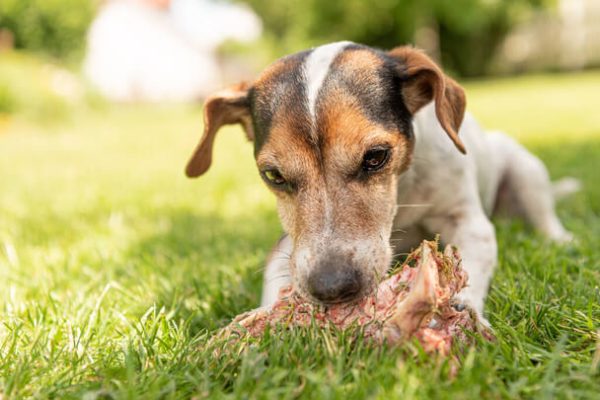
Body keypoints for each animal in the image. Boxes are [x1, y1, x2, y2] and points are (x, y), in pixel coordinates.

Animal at [184, 42, 576, 320]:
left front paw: (462, 305)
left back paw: (561, 240)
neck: (401, 195)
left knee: (544, 215)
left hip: (525, 168)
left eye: (375, 157)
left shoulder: (468, 221)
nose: (332, 287)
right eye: (273, 176)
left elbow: (469, 263)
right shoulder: (288, 245)